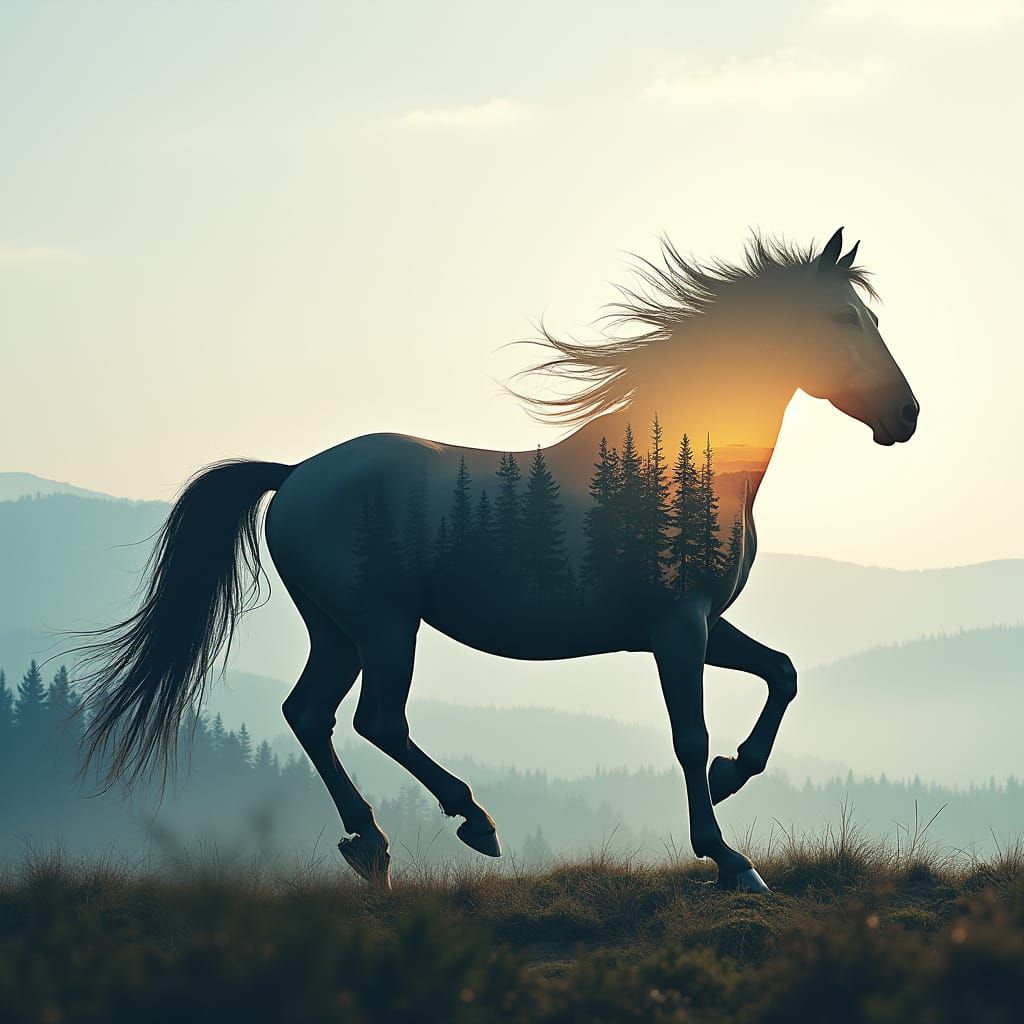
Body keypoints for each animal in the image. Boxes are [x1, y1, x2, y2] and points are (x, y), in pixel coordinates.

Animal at [74, 227, 918, 892]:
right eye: (843, 317)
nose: (906, 416)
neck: (674, 468)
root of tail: (294, 475)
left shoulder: (702, 623)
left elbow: (782, 673)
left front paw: (734, 775)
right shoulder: (678, 627)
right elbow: (690, 734)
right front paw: (729, 859)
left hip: (337, 630)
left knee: (309, 715)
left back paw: (372, 846)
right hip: (383, 626)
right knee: (377, 718)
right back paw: (471, 821)